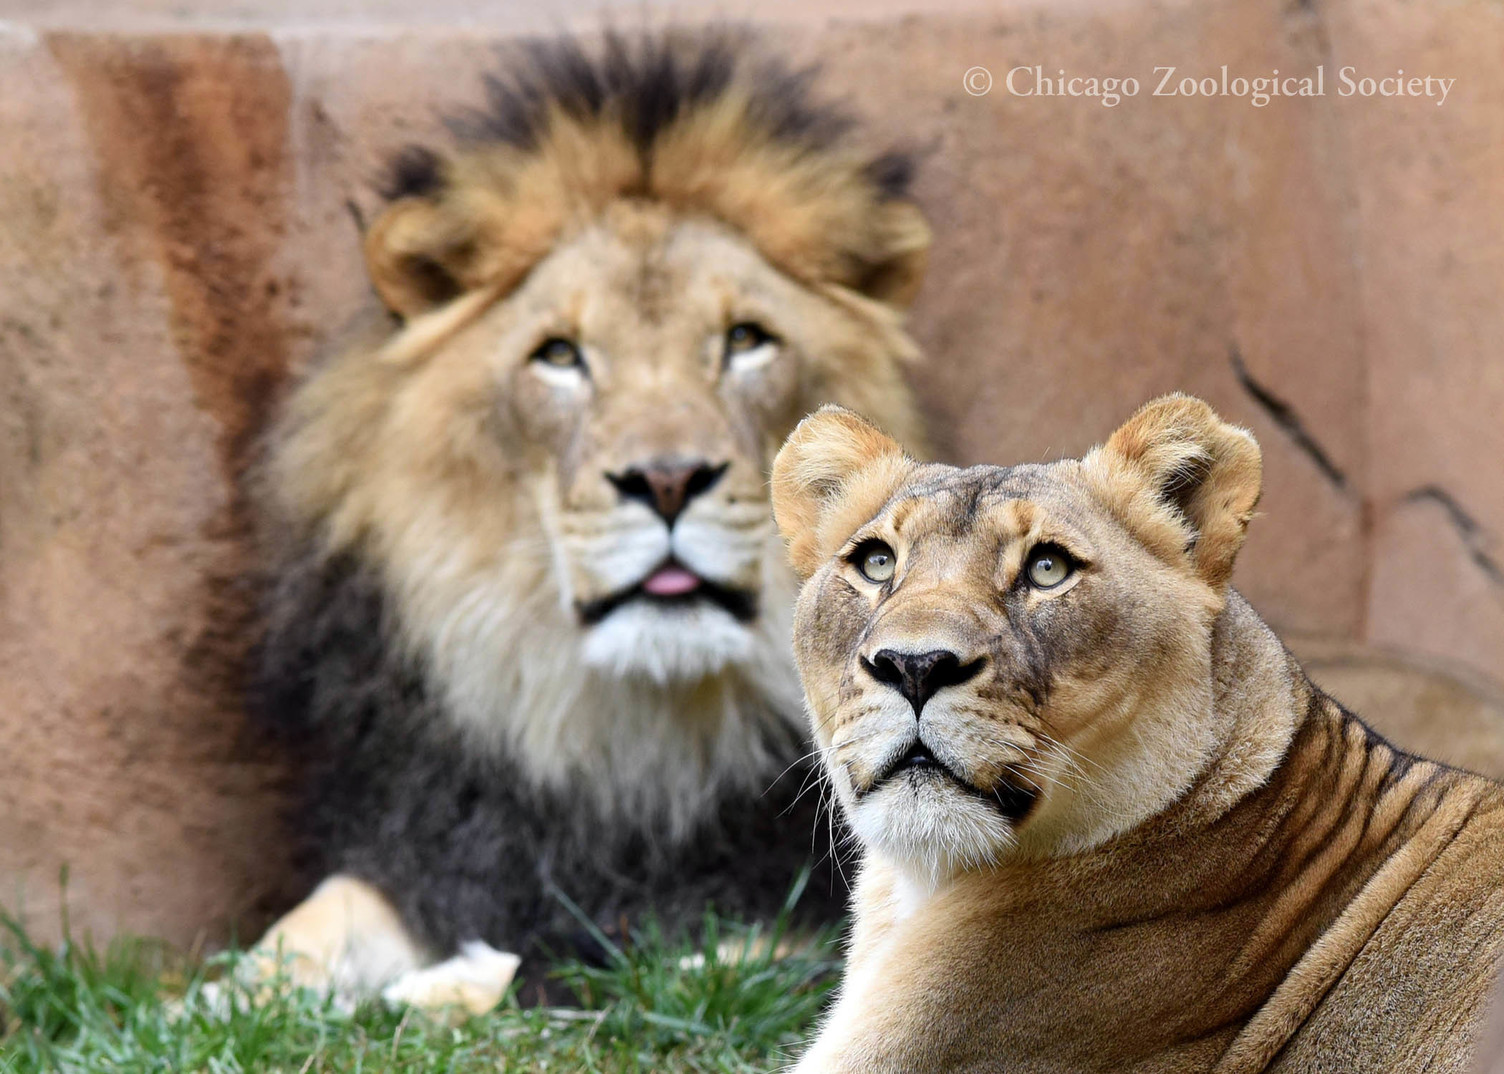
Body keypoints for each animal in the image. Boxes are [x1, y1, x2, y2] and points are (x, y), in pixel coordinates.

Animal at [246, 33, 926, 1004]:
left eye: (746, 341)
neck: (624, 746)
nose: (669, 480)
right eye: (560, 356)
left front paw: (449, 998)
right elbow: (310, 923)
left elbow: (643, 977)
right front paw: (220, 998)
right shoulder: (441, 852)